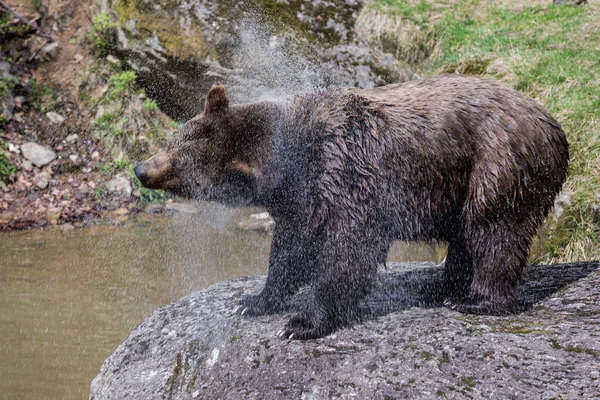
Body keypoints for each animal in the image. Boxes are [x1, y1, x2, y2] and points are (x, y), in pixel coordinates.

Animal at [135, 74, 568, 338]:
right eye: (176, 139)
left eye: (184, 168)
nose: (141, 169)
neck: (295, 159)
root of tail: (553, 121)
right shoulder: (303, 200)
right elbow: (291, 250)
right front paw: (253, 301)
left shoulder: (348, 175)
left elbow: (349, 250)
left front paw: (301, 322)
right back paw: (441, 285)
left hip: (499, 161)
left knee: (494, 227)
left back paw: (477, 299)